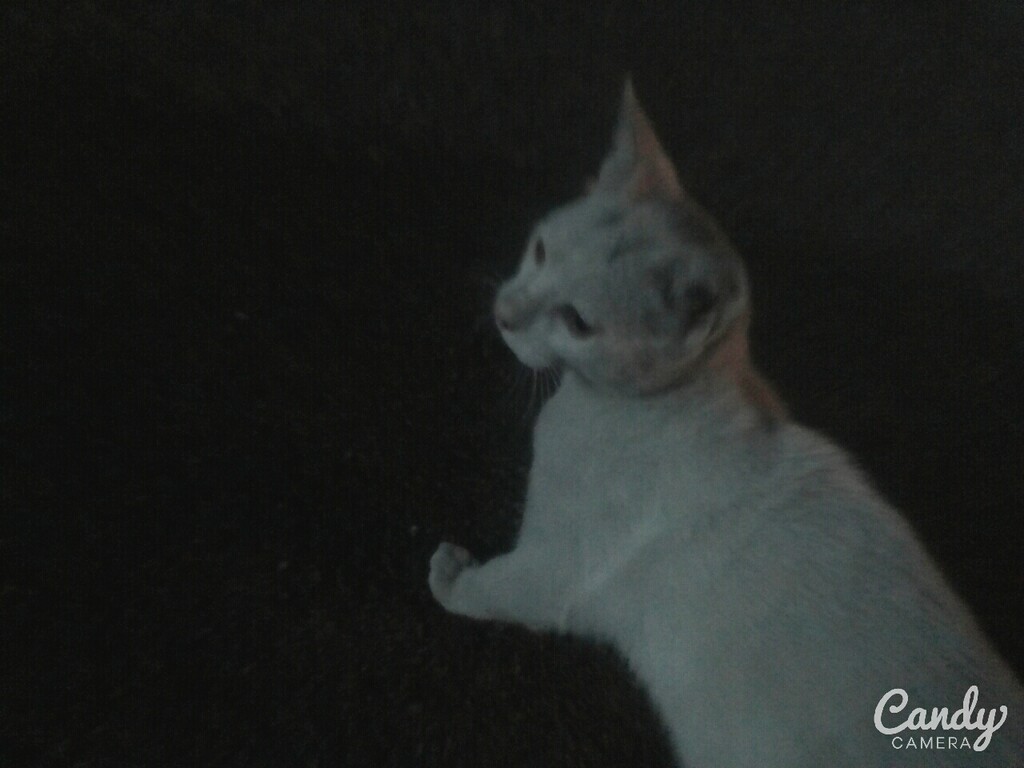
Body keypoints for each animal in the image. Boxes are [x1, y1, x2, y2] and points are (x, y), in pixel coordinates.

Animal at [428, 80, 1024, 767]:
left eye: (577, 323)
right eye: (541, 251)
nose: (505, 312)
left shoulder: (554, 567)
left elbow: (494, 588)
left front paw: (451, 577)